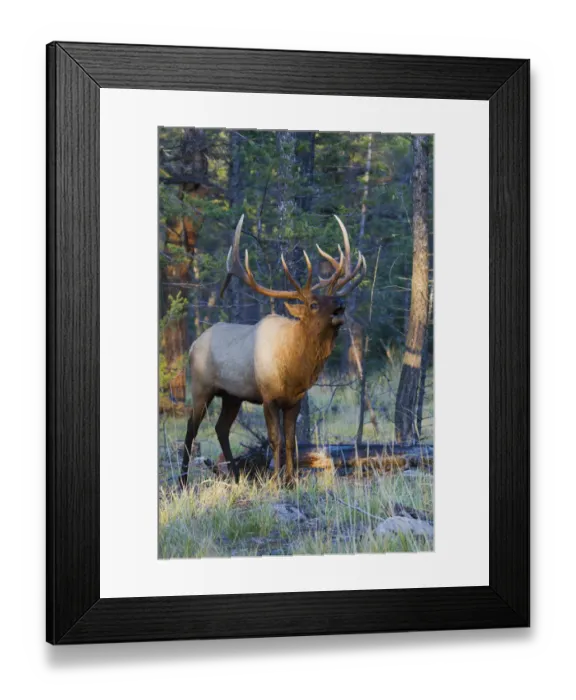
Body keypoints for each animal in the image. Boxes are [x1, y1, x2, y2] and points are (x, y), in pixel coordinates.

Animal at [179, 214, 366, 487]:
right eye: (313, 304)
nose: (340, 306)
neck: (294, 368)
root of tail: (192, 345)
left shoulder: (294, 400)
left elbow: (290, 440)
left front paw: (290, 479)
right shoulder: (268, 397)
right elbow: (275, 438)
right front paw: (276, 480)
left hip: (232, 395)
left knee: (221, 428)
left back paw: (236, 476)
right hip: (201, 386)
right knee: (191, 427)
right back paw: (182, 481)